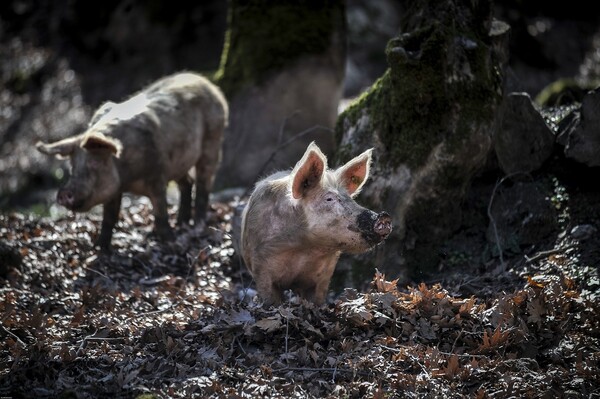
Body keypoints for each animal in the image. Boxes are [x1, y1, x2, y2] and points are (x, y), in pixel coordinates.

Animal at [37, 72, 229, 253]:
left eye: (94, 163)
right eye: (72, 166)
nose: (64, 192)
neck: (127, 178)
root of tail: (210, 85)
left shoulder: (157, 177)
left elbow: (161, 214)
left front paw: (169, 241)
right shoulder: (115, 189)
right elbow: (109, 218)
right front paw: (99, 248)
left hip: (213, 142)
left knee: (204, 184)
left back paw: (197, 225)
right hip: (179, 162)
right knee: (187, 183)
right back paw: (182, 223)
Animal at [241, 143, 392, 306]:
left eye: (351, 199)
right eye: (329, 199)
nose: (384, 216)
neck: (304, 247)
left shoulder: (323, 275)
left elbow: (317, 299)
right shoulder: (261, 265)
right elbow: (269, 297)